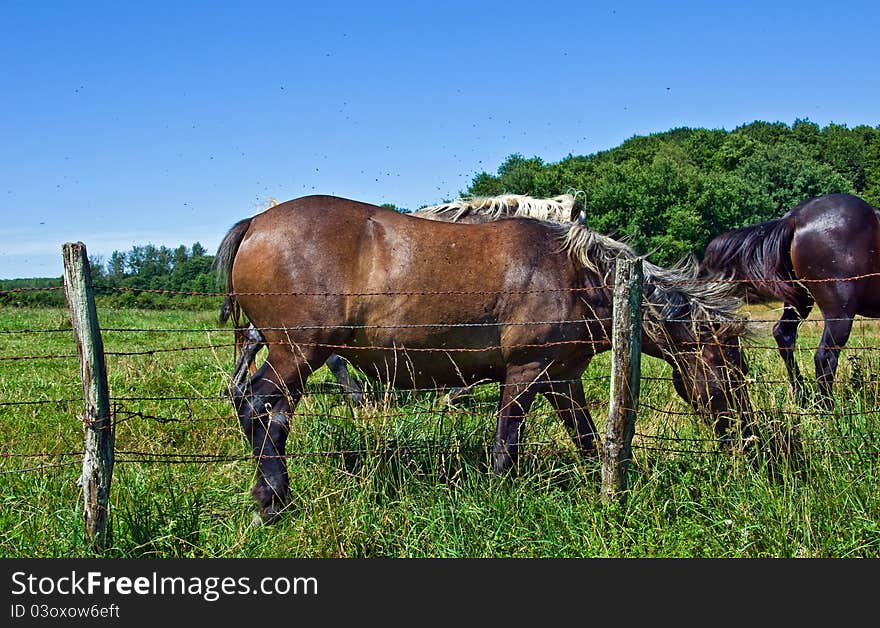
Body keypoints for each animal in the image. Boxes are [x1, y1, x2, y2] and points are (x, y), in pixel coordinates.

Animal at [217, 194, 752, 524]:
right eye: (733, 370)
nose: (749, 440)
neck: (580, 276)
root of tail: (255, 224)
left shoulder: (563, 381)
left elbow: (588, 441)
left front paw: (613, 494)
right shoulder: (525, 374)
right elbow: (505, 447)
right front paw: (499, 500)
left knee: (267, 415)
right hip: (297, 352)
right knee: (257, 407)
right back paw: (274, 500)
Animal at [696, 193, 876, 408]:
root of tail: (795, 217)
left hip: (799, 299)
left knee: (784, 335)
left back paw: (801, 396)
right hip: (839, 312)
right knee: (825, 356)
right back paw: (826, 407)